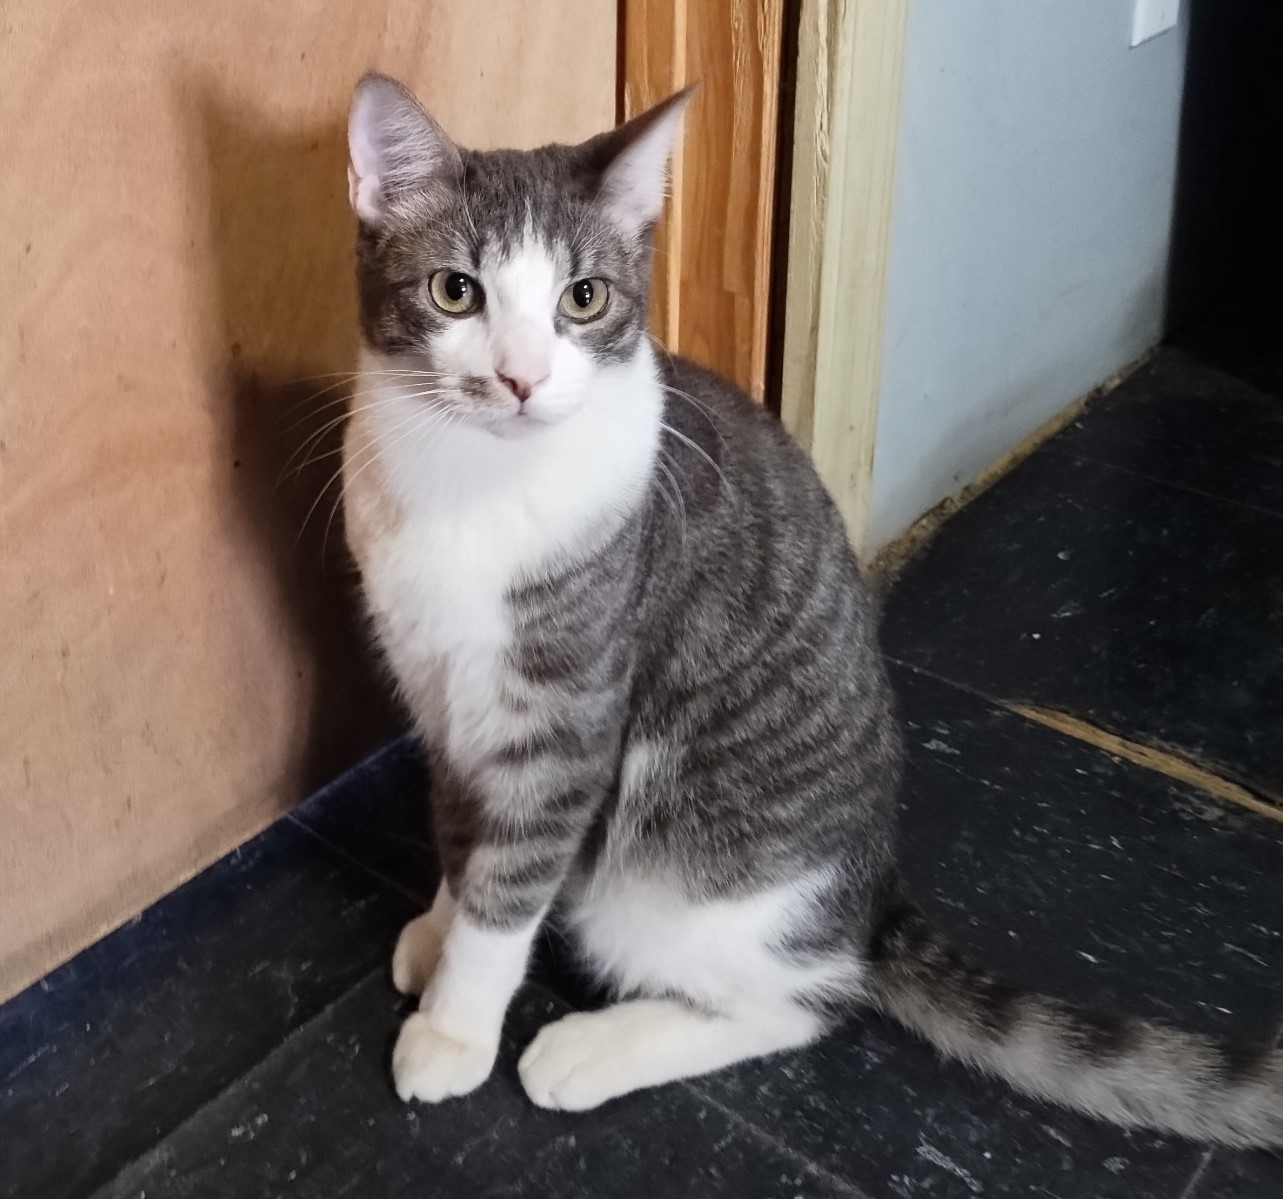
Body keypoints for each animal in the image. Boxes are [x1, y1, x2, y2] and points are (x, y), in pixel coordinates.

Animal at [341, 72, 1283, 1143]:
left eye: (584, 299)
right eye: (455, 291)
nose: (521, 379)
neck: (470, 484)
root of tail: (868, 895)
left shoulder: (561, 725)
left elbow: (509, 887)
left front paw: (453, 1027)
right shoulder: (444, 698)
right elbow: (464, 839)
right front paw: (437, 926)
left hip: (676, 881)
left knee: (803, 1002)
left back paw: (589, 1049)